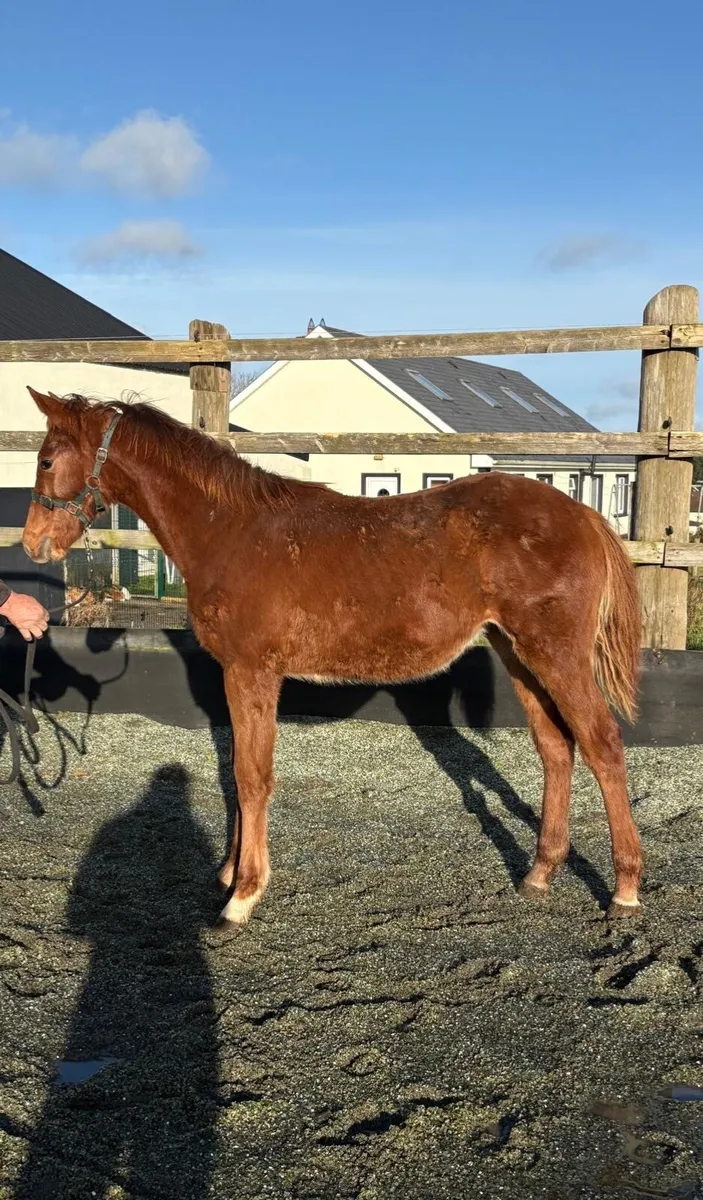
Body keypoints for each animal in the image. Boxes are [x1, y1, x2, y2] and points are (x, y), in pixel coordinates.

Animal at [22, 389, 644, 926]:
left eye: (47, 460)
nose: (32, 544)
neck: (229, 531)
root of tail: (586, 517)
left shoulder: (252, 672)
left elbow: (251, 776)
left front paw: (242, 895)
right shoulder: (240, 676)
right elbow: (238, 771)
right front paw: (228, 872)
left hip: (554, 653)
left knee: (602, 744)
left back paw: (625, 889)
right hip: (516, 653)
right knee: (556, 749)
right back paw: (539, 873)